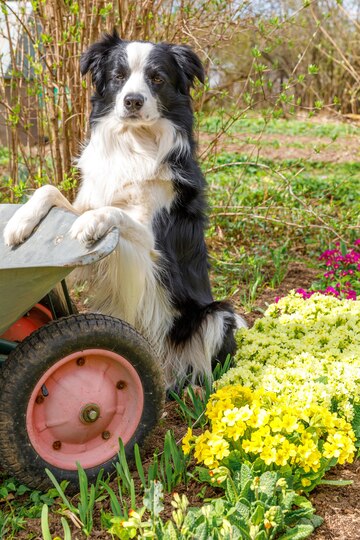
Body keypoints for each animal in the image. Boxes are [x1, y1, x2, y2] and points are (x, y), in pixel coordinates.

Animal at [4, 30, 246, 388]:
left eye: (157, 78)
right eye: (118, 76)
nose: (132, 101)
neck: (133, 142)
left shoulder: (154, 245)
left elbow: (113, 214)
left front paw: (87, 225)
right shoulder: (88, 198)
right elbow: (50, 190)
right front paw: (18, 223)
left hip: (218, 314)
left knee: (205, 370)